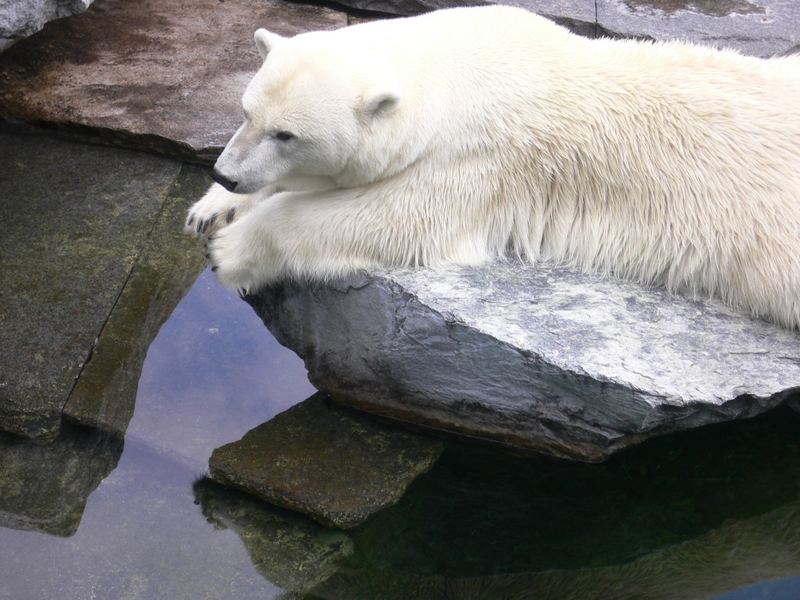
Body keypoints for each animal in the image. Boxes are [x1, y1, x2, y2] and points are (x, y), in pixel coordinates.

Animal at [186, 4, 800, 328]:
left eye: (287, 135)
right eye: (246, 112)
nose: (226, 173)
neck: (455, 64)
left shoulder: (483, 158)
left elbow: (396, 217)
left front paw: (233, 250)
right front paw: (212, 211)